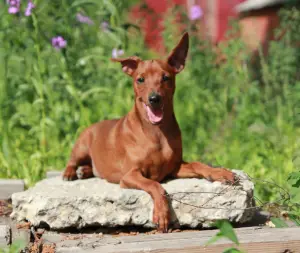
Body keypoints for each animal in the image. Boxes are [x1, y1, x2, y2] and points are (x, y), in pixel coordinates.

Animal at [63, 33, 236, 233]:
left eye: (166, 77)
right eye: (140, 79)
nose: (154, 98)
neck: (157, 132)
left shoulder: (175, 167)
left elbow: (197, 164)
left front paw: (219, 173)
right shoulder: (130, 175)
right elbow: (155, 185)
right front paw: (162, 214)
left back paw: (85, 171)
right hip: (82, 146)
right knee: (72, 160)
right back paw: (71, 172)